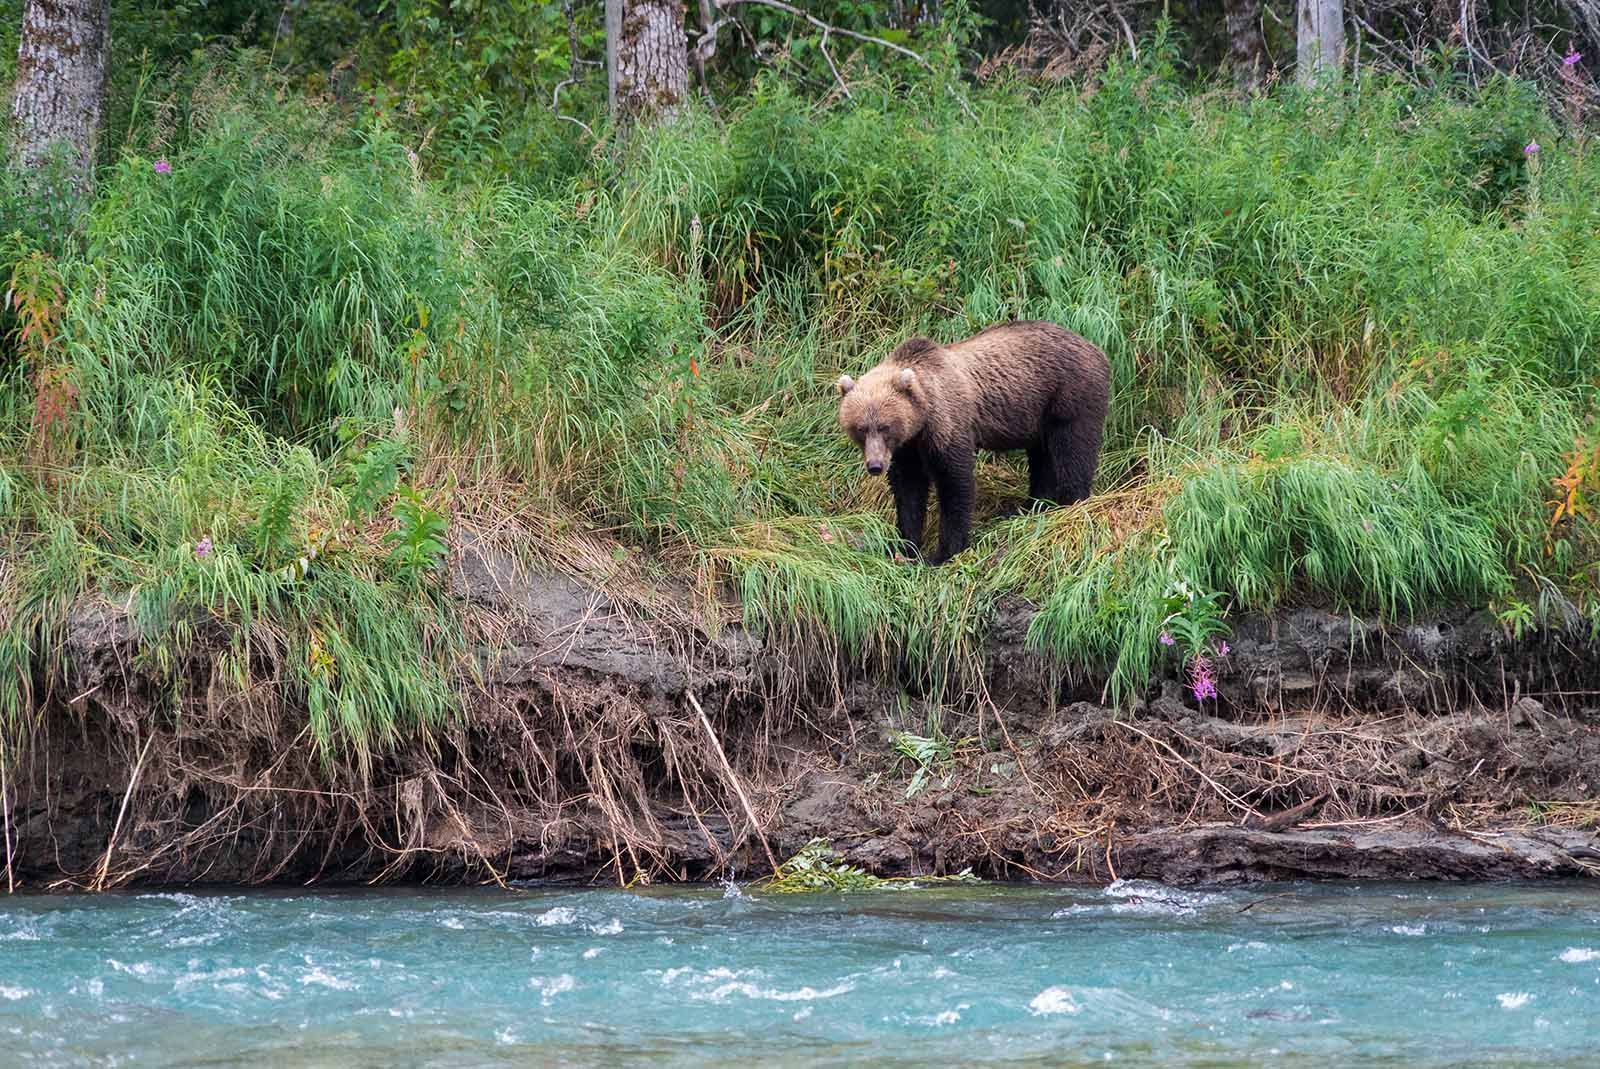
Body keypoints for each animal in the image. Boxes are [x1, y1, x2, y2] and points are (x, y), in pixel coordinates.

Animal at [835, 320, 1110, 565]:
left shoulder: (948, 425)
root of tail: (1095, 348)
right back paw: (1032, 506)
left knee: (1072, 449)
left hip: (1069, 394)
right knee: (1042, 457)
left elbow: (955, 483)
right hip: (1036, 414)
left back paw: (1070, 503)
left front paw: (943, 553)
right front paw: (904, 546)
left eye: (884, 426)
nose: (875, 465)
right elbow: (908, 489)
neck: (921, 419)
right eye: (861, 428)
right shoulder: (907, 448)